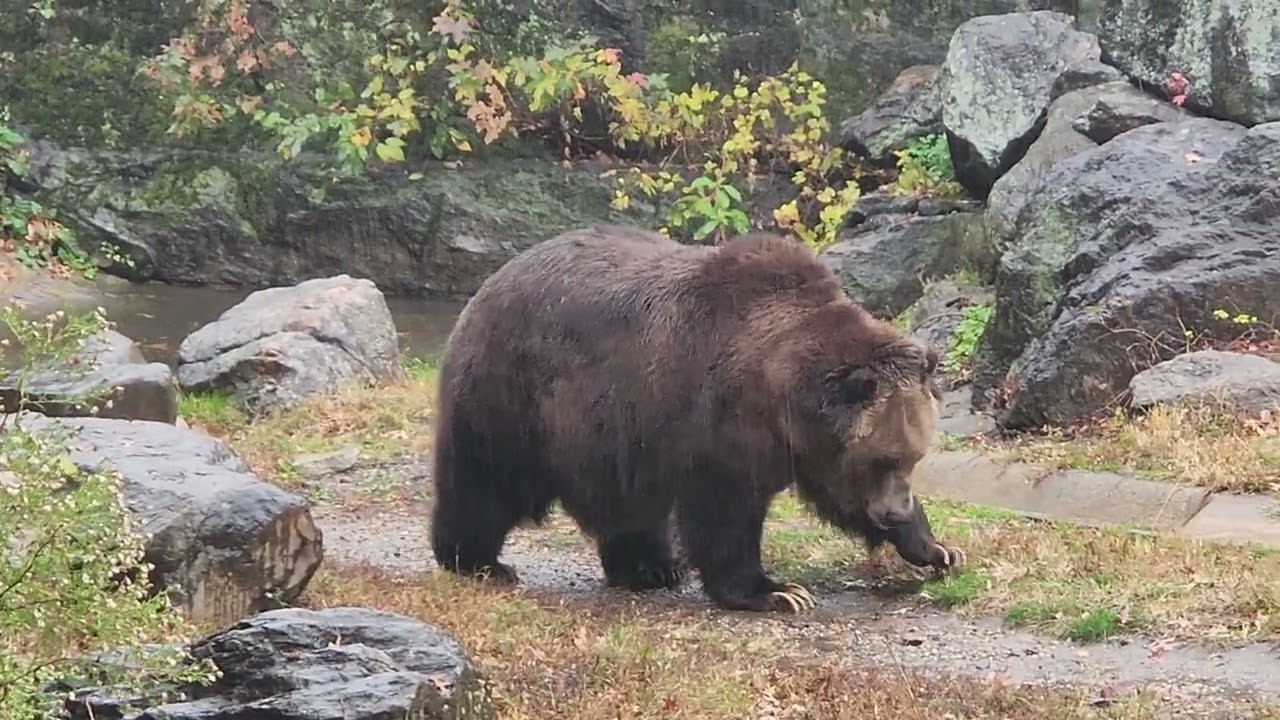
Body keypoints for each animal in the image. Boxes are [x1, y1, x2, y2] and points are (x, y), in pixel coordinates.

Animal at [429, 224, 965, 613]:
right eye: (882, 458)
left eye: (913, 457)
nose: (894, 511)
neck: (780, 394)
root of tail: (492, 281)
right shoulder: (719, 423)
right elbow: (725, 514)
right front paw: (777, 591)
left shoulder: (809, 445)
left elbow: (839, 495)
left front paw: (937, 548)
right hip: (515, 392)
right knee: (488, 479)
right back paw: (475, 561)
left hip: (616, 433)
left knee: (629, 502)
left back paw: (649, 568)